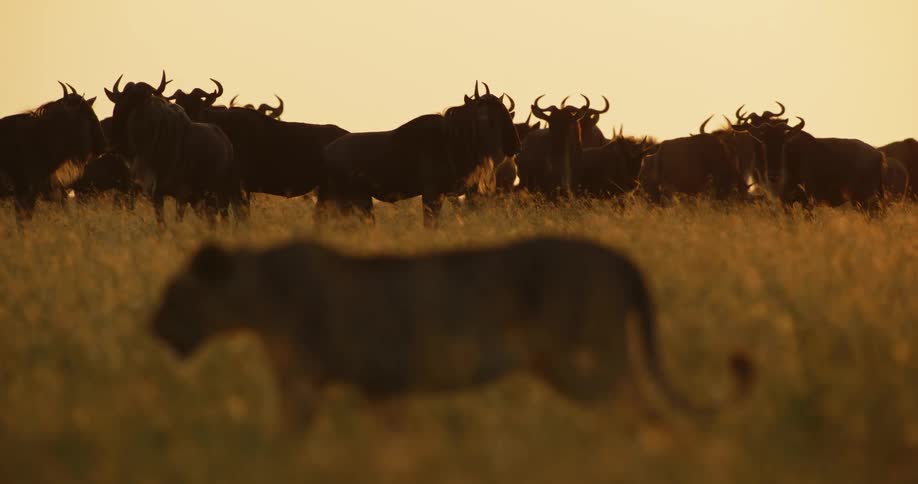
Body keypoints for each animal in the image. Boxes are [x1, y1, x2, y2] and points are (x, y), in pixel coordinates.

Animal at [150, 237, 754, 430]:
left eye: (176, 295)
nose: (152, 328)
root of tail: (621, 259)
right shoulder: (379, 389)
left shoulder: (310, 387)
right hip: (566, 364)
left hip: (586, 355)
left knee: (641, 408)